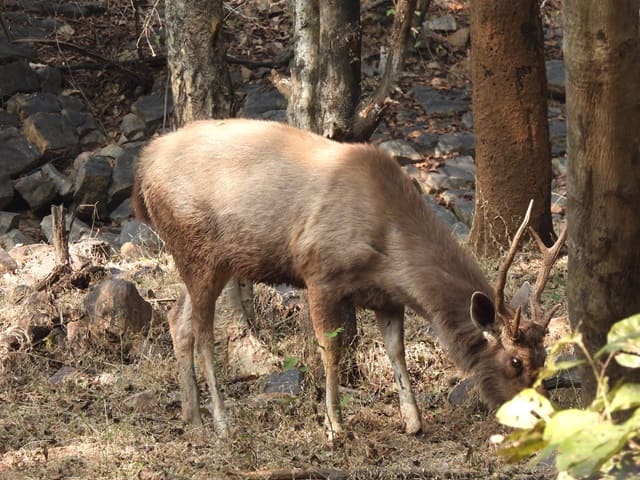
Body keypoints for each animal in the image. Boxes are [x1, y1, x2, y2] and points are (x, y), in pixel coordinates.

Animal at [132, 118, 566, 439]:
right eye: (514, 361)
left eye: (544, 358)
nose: (542, 418)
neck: (391, 249)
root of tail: (143, 166)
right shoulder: (319, 272)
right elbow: (332, 348)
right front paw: (335, 426)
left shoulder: (386, 297)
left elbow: (395, 350)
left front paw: (413, 422)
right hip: (196, 247)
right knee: (204, 331)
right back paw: (221, 421)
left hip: (207, 260)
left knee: (177, 318)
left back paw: (192, 416)